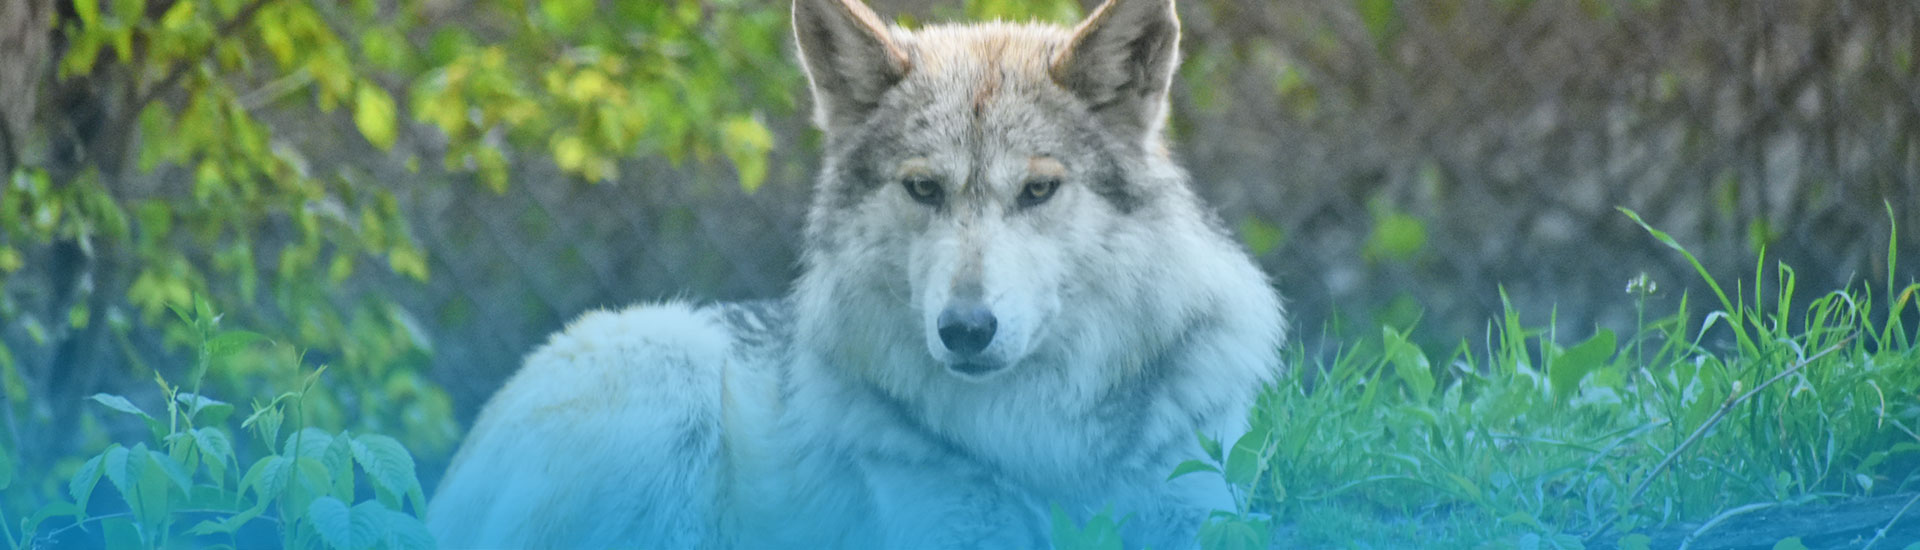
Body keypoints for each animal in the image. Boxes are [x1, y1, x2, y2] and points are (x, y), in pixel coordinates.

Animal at [425, 0, 1286, 548]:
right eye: (924, 190)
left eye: (1038, 191)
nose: (965, 330)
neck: (1038, 440)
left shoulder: (1200, 510)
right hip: (668, 368)